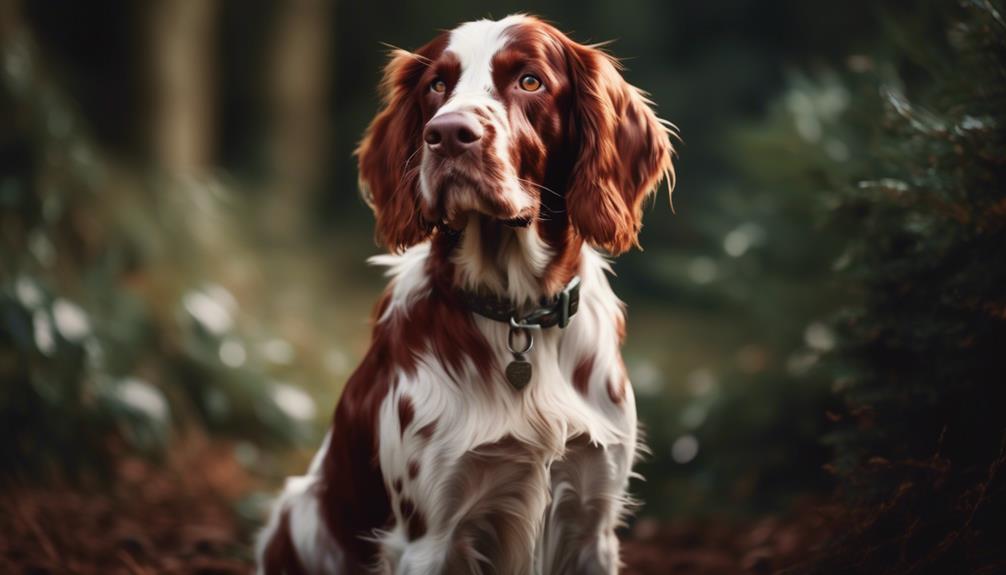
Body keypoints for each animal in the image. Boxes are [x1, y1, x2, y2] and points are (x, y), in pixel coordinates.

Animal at [259, 14, 676, 575]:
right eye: (437, 85)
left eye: (529, 81)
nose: (447, 134)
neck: (517, 315)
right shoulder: (431, 537)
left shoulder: (593, 521)